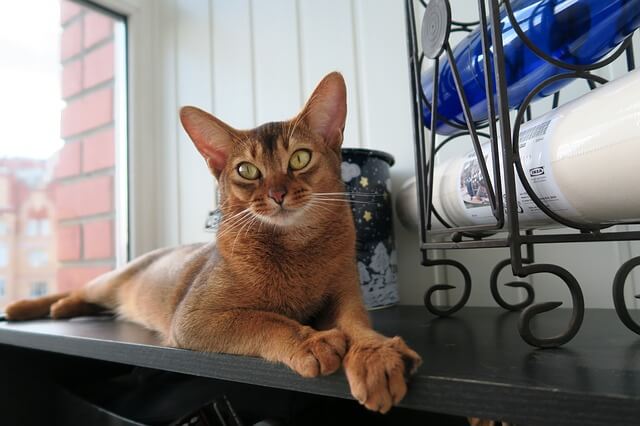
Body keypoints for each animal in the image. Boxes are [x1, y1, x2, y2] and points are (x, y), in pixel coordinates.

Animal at [8, 72, 424, 412]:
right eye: (247, 170)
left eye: (300, 158)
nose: (277, 194)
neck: (295, 247)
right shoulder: (193, 319)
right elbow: (264, 320)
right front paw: (310, 342)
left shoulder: (345, 295)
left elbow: (357, 326)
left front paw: (377, 357)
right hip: (113, 280)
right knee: (83, 289)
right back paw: (33, 306)